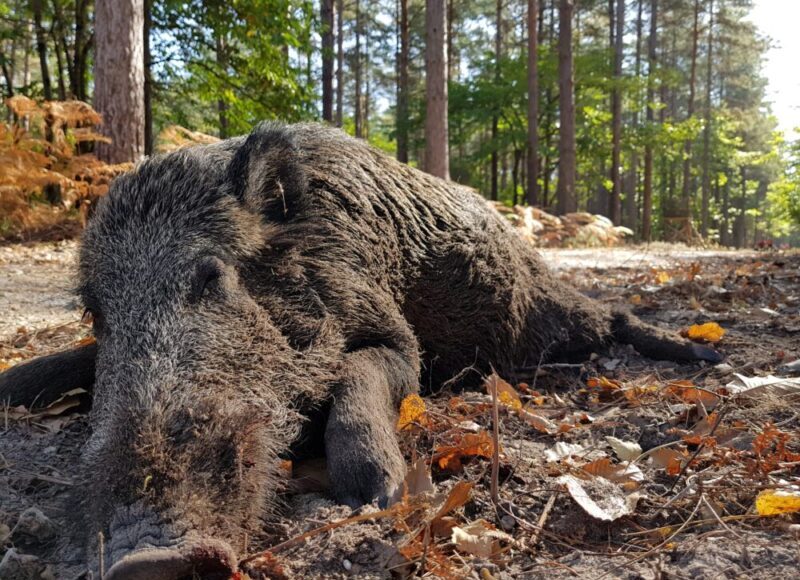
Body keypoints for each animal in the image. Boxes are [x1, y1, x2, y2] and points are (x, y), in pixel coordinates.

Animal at [0, 122, 720, 578]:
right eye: (98, 311)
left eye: (212, 277)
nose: (145, 560)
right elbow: (51, 366)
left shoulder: (400, 339)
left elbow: (361, 373)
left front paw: (376, 492)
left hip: (544, 319)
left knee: (612, 316)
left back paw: (703, 356)